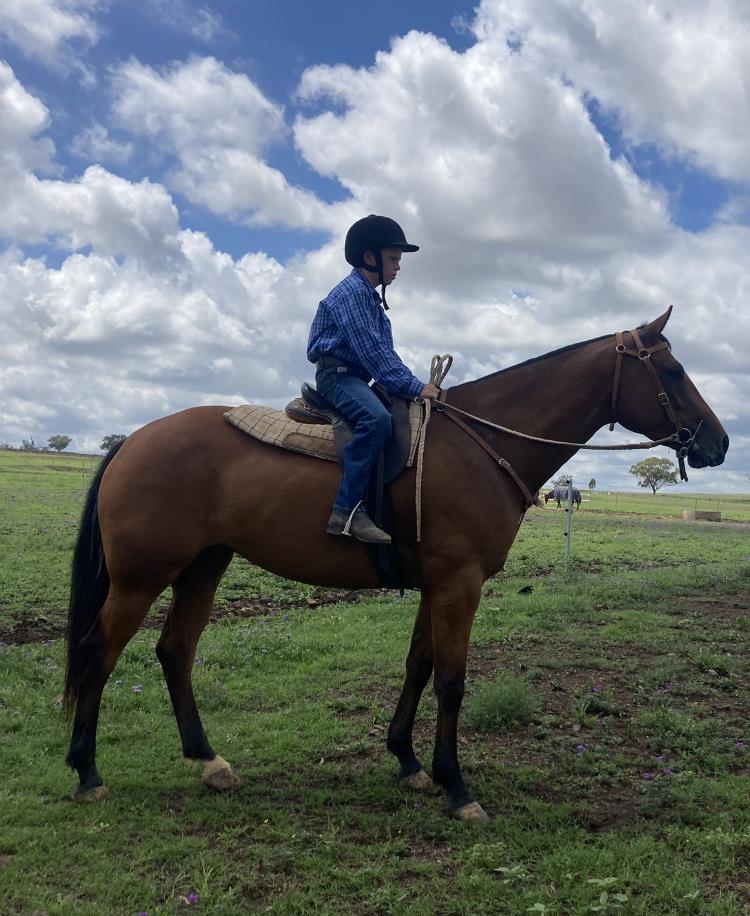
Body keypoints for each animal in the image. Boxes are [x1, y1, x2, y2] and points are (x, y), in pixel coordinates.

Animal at [63, 308, 728, 820]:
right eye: (672, 369)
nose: (718, 442)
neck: (481, 446)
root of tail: (133, 441)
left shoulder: (437, 585)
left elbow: (419, 666)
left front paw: (408, 761)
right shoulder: (460, 585)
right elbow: (453, 681)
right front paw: (456, 786)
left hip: (203, 567)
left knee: (175, 652)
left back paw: (208, 760)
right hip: (141, 577)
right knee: (99, 653)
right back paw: (87, 772)